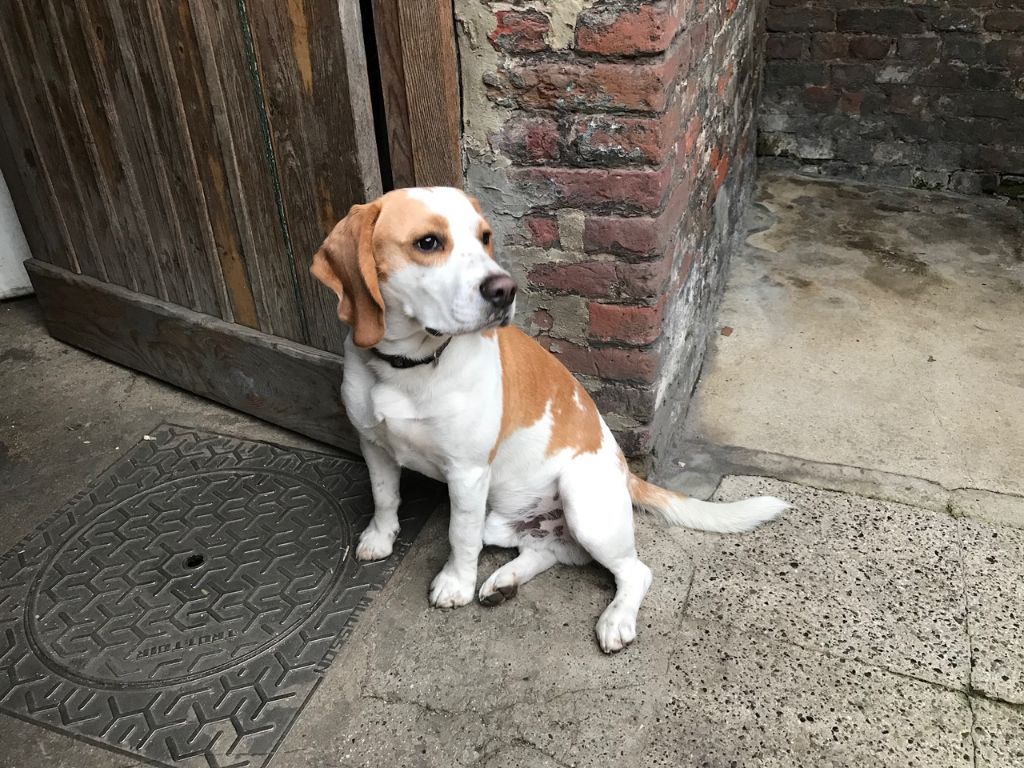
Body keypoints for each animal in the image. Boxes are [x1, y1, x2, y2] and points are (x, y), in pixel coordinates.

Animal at [311, 187, 787, 652]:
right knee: (546, 551)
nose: (505, 290)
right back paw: (504, 582)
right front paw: (380, 537)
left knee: (634, 571)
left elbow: (458, 535)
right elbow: (384, 496)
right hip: (502, 522)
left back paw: (616, 619)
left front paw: (454, 583)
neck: (409, 365)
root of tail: (624, 472)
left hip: (581, 502)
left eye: (484, 237)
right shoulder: (373, 445)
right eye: (427, 242)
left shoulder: (467, 473)